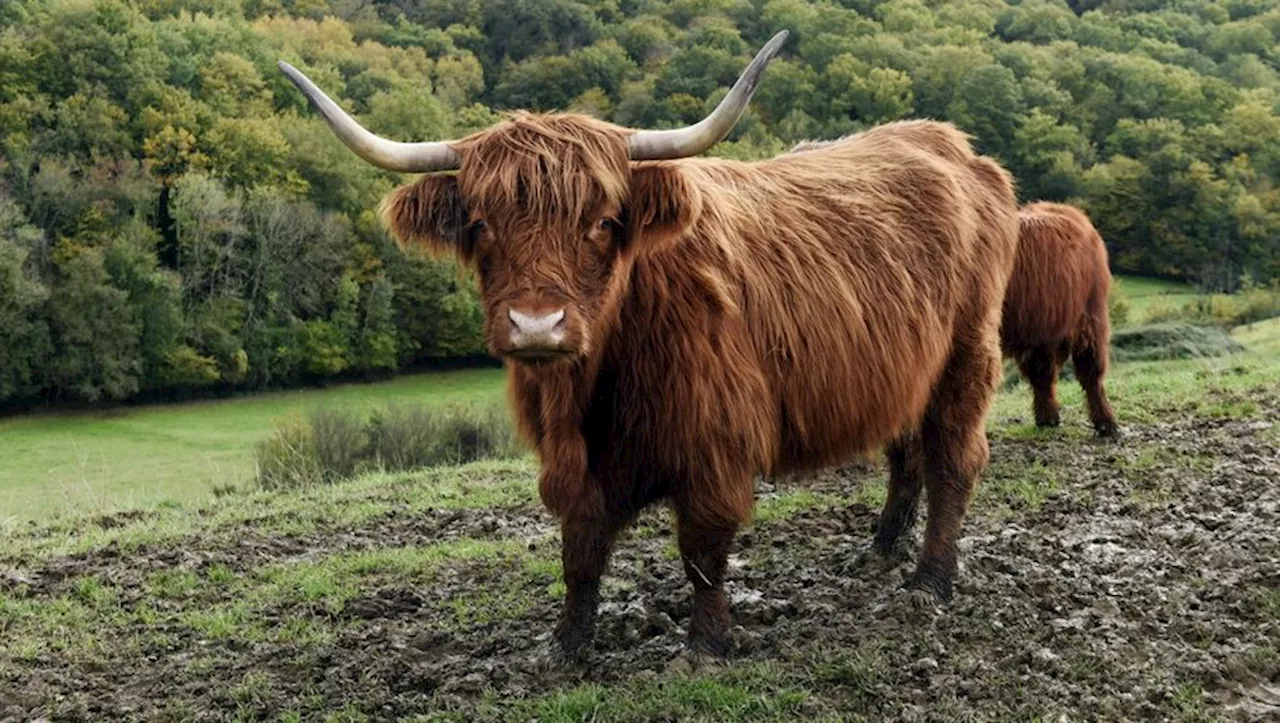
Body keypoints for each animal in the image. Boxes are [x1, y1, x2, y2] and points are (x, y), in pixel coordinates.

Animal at [280, 35, 1018, 665]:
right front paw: (566, 647)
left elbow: (702, 548)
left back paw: (928, 582)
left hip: (965, 358)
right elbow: (579, 550)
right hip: (903, 368)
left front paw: (706, 646)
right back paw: (880, 550)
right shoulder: (568, 460)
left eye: (605, 221)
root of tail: (949, 142)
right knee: (906, 452)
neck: (594, 386)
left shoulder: (716, 441)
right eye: (481, 224)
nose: (538, 326)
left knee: (953, 458)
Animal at [998, 203, 1121, 437]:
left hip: (1089, 318)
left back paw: (1106, 423)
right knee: (1042, 374)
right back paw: (1048, 418)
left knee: (1090, 371)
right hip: (1040, 330)